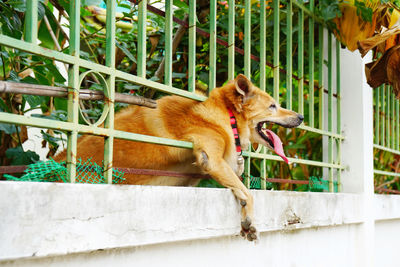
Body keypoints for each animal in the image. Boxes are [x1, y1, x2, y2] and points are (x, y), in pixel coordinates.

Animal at [56, 74, 304, 242]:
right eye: (273, 106)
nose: (301, 116)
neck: (226, 117)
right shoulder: (211, 159)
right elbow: (248, 193)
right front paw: (250, 221)